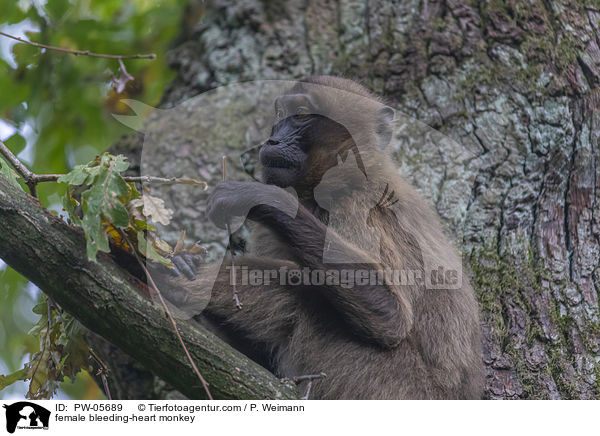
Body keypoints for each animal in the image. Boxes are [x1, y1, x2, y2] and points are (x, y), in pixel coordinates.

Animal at [162, 76, 486, 398]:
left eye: (302, 115)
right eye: (281, 115)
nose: (272, 141)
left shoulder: (359, 206)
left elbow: (392, 320)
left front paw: (260, 197)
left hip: (387, 382)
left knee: (298, 289)